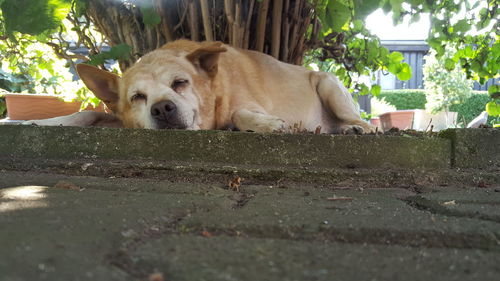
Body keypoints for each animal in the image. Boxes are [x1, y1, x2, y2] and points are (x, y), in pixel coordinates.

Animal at [25, 39, 374, 133]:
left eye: (180, 83)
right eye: (138, 97)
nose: (163, 109)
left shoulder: (245, 106)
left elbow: (240, 115)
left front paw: (269, 124)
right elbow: (88, 113)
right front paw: (44, 121)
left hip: (328, 84)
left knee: (363, 121)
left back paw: (355, 128)